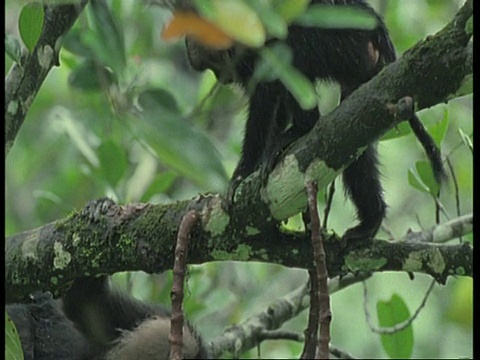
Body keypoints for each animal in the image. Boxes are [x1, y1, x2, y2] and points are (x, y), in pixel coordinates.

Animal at [185, 0, 446, 242]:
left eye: (214, 66)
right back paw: (372, 219)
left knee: (297, 48)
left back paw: (302, 129)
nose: (222, 77)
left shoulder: (257, 48)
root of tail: (377, 28)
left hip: (348, 44)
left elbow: (267, 94)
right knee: (356, 138)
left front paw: (243, 171)